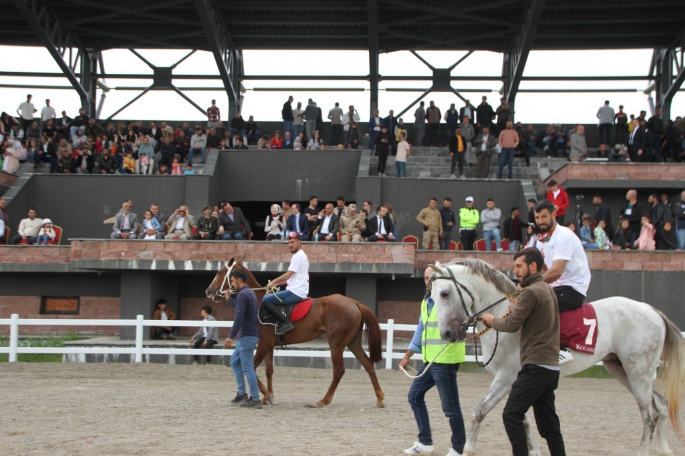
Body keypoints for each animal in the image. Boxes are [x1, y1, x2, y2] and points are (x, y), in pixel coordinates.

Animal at [203, 258, 384, 408]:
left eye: (219, 272)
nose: (208, 291)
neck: (258, 303)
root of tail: (354, 302)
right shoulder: (269, 345)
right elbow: (268, 370)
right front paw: (268, 396)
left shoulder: (263, 345)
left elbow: (251, 368)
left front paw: (266, 394)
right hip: (352, 342)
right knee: (368, 365)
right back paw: (380, 398)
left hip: (336, 344)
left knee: (339, 371)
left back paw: (323, 401)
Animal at [428, 258, 684, 456]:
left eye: (444, 293)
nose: (447, 334)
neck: (503, 314)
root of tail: (651, 311)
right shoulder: (518, 381)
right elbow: (525, 420)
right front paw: (534, 451)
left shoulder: (506, 377)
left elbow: (480, 411)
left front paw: (468, 449)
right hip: (624, 371)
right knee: (660, 405)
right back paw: (663, 448)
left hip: (637, 373)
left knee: (648, 416)